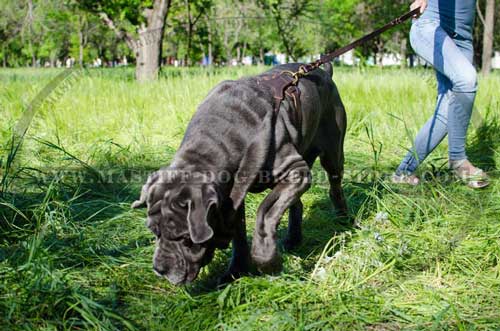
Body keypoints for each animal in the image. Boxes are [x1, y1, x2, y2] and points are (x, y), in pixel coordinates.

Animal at [135, 63, 350, 286]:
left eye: (185, 238)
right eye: (154, 232)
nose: (159, 269)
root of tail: (325, 70)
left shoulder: (295, 171)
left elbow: (265, 212)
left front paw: (267, 260)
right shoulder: (231, 196)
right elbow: (239, 235)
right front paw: (235, 271)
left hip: (333, 151)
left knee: (335, 186)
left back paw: (344, 219)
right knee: (296, 203)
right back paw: (293, 239)